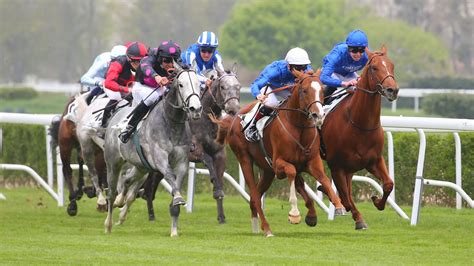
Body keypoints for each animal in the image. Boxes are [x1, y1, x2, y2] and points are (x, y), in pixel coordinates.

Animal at [103, 62, 202, 237]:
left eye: (198, 84)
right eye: (181, 84)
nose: (195, 109)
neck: (171, 124)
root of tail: (116, 115)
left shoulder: (182, 162)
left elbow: (175, 187)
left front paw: (174, 231)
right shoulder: (160, 158)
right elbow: (169, 175)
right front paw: (178, 198)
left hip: (142, 166)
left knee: (127, 181)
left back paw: (121, 201)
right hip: (113, 164)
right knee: (112, 192)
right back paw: (108, 224)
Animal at [215, 68, 344, 237]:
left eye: (322, 90)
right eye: (304, 90)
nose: (318, 115)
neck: (298, 127)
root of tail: (235, 118)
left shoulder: (311, 161)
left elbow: (324, 179)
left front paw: (338, 205)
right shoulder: (278, 165)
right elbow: (291, 173)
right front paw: (294, 214)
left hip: (267, 171)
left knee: (257, 197)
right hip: (245, 160)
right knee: (255, 195)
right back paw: (267, 229)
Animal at [320, 44, 398, 230]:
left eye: (392, 66)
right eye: (374, 67)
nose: (392, 90)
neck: (361, 125)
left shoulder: (374, 160)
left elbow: (388, 184)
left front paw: (377, 201)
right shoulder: (336, 166)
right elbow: (347, 200)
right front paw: (359, 219)